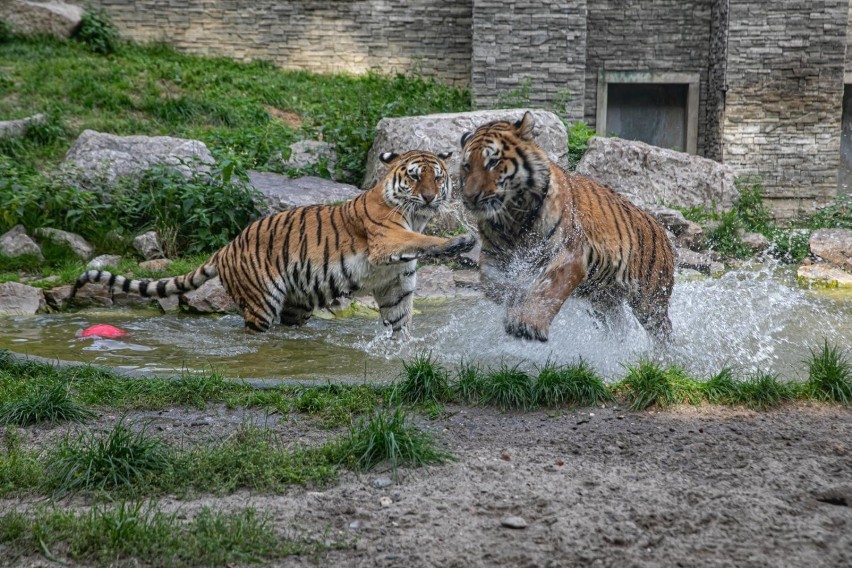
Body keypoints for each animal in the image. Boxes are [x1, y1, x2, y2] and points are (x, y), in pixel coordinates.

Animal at [73, 149, 476, 340]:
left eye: (438, 177)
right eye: (415, 177)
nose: (430, 198)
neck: (415, 215)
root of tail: (226, 247)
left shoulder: (395, 283)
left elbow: (399, 322)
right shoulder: (388, 239)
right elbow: (424, 240)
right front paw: (462, 240)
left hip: (297, 304)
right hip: (261, 302)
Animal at [462, 111, 676, 342]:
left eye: (493, 162)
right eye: (467, 166)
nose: (470, 197)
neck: (511, 218)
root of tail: (661, 230)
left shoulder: (570, 253)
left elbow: (548, 289)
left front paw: (528, 324)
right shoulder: (493, 256)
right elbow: (494, 283)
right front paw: (515, 299)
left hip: (651, 301)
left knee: (664, 333)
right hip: (605, 301)